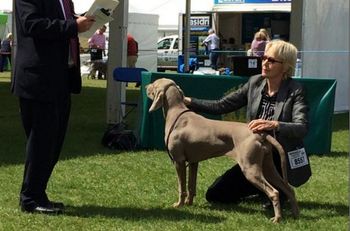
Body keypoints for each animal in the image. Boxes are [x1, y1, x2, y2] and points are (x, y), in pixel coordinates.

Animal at [145, 78, 298, 223]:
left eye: (154, 84)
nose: (146, 86)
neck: (177, 114)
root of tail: (260, 133)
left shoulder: (179, 161)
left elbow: (181, 186)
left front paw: (179, 204)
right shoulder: (194, 162)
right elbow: (191, 186)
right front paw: (189, 203)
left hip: (250, 168)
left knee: (274, 192)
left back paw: (277, 218)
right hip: (268, 166)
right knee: (289, 188)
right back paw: (295, 214)